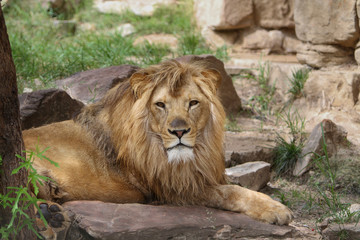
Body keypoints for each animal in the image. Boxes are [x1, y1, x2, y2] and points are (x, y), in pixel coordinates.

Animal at [23, 59, 292, 238]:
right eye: (161, 105)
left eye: (193, 103)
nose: (179, 132)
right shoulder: (172, 187)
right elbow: (230, 192)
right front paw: (276, 209)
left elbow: (236, 185)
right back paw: (47, 219)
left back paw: (51, 214)